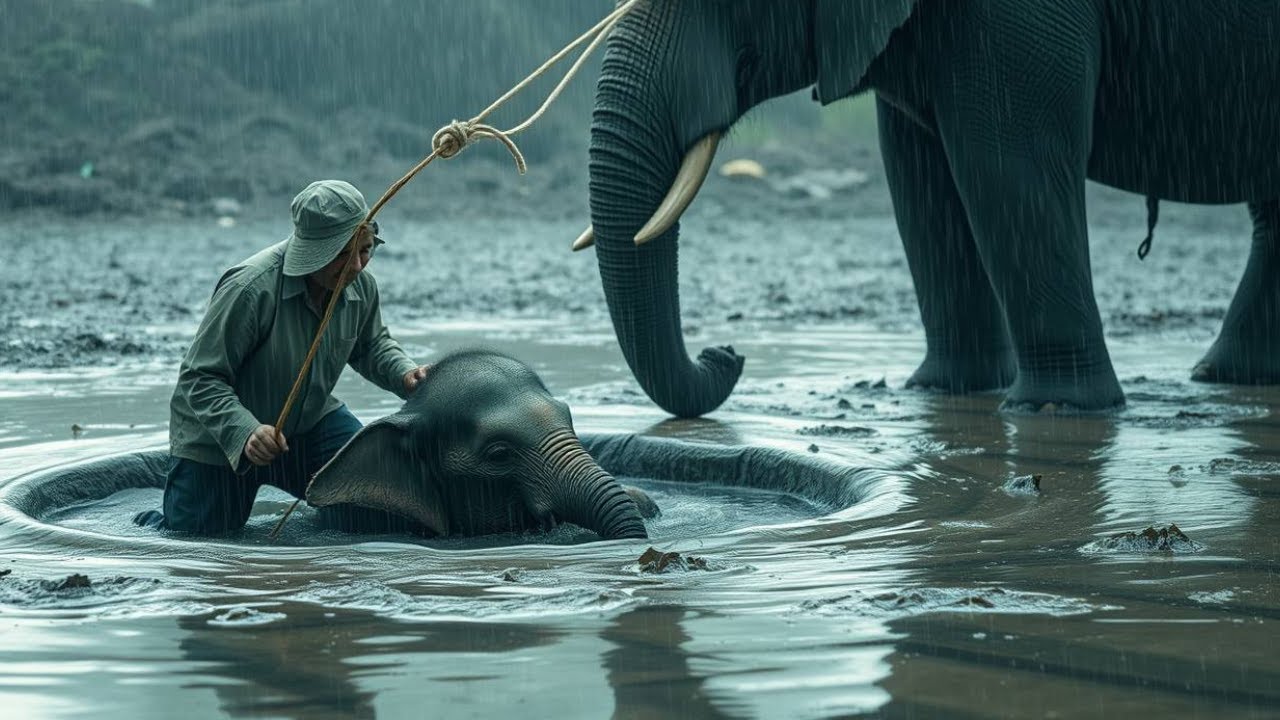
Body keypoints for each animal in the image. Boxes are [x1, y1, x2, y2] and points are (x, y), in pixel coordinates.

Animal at [579, 0, 1280, 414]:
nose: (727, 352)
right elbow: (920, 179)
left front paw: (1056, 410)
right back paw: (1227, 377)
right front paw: (947, 392)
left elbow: (1005, 161)